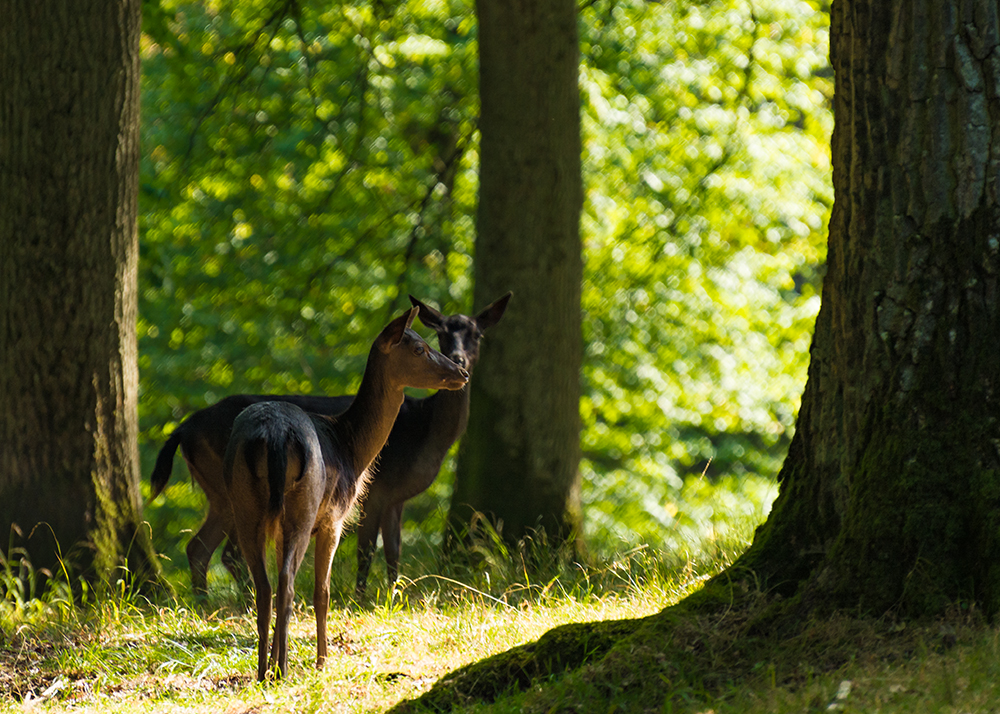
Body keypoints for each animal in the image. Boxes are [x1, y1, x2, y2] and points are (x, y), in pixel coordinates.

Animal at [150, 290, 508, 596]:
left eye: (477, 334)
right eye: (438, 337)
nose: (460, 366)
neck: (426, 434)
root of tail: (183, 428)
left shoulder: (396, 497)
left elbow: (393, 550)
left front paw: (395, 594)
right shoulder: (376, 491)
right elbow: (367, 549)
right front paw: (363, 599)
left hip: (222, 491)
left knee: (207, 549)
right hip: (227, 489)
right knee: (221, 551)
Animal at [225, 308, 466, 680]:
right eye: (420, 349)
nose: (462, 372)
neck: (352, 448)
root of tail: (274, 435)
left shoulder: (280, 526)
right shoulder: (334, 519)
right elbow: (323, 592)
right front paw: (323, 661)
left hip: (246, 505)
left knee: (265, 586)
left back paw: (265, 670)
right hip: (305, 505)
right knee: (288, 584)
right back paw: (283, 668)